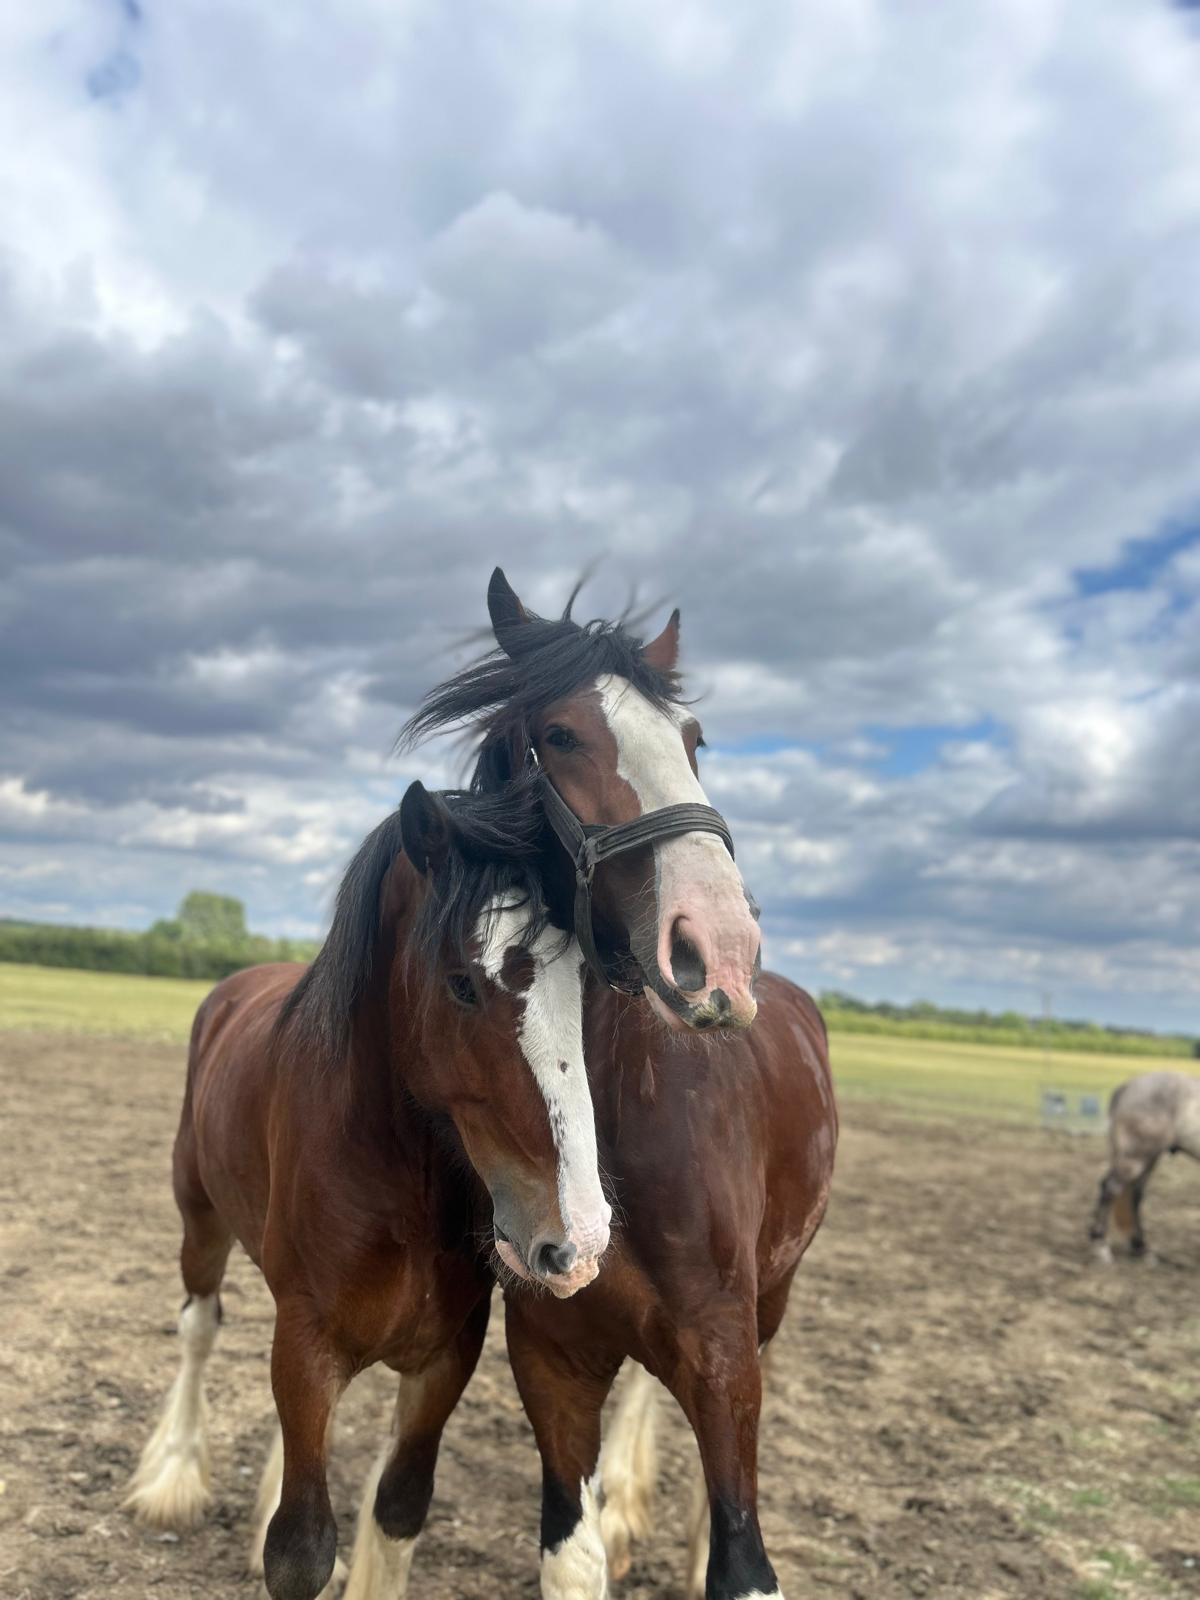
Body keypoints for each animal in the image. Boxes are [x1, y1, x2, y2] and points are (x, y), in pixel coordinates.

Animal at [126, 776, 611, 1600]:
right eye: (462, 985)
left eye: (582, 987)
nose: (574, 1238)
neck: (398, 1180)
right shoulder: (309, 1346)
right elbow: (300, 1551)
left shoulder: (442, 1358)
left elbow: (398, 1511)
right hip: (200, 1218)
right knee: (198, 1328)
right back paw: (174, 1478)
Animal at [1089, 1070, 1200, 1263]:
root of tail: (1129, 1086)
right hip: (1137, 1157)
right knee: (1111, 1189)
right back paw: (1101, 1245)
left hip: (1149, 1157)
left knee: (1135, 1194)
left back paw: (1140, 1247)